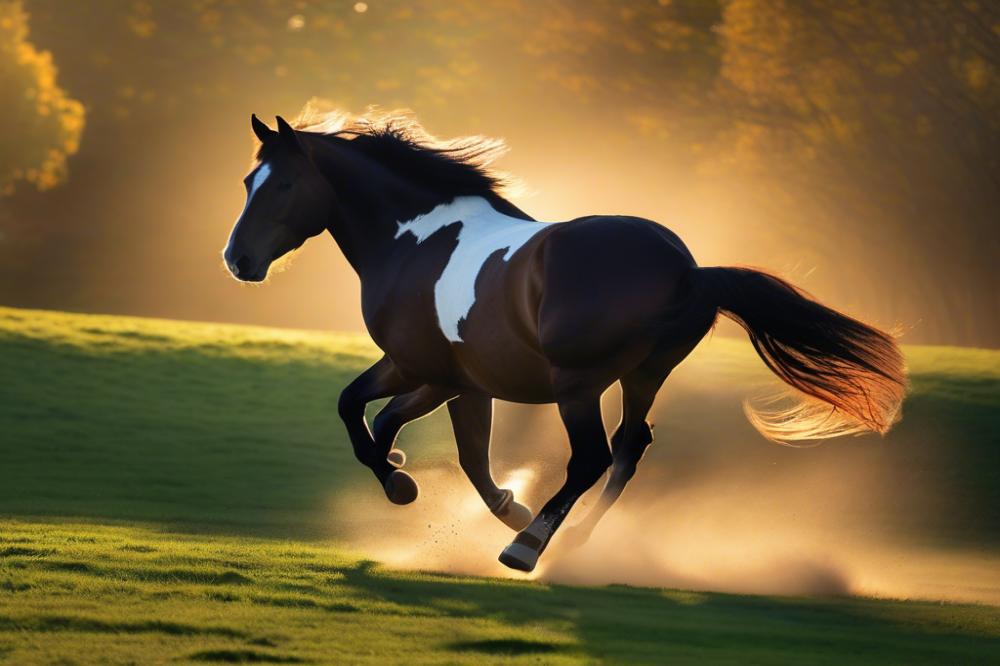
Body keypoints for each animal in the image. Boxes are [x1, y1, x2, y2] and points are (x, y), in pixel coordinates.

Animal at [222, 110, 906, 572]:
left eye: (282, 185)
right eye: (248, 183)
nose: (238, 260)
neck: (413, 242)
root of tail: (688, 269)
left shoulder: (425, 371)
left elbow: (378, 421)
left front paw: (407, 484)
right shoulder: (455, 380)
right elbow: (430, 439)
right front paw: (488, 498)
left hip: (578, 385)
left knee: (593, 457)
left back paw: (526, 548)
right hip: (643, 376)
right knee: (630, 447)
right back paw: (573, 542)